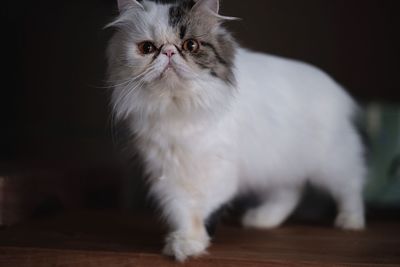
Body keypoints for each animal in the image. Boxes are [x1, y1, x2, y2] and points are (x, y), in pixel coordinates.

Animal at [105, 0, 366, 264]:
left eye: (191, 45)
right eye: (147, 48)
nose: (168, 52)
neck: (177, 109)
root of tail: (335, 88)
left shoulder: (215, 172)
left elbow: (198, 212)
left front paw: (190, 244)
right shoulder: (168, 172)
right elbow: (182, 210)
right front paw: (185, 243)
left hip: (331, 163)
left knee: (351, 185)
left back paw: (351, 221)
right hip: (279, 165)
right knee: (291, 192)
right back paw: (262, 219)